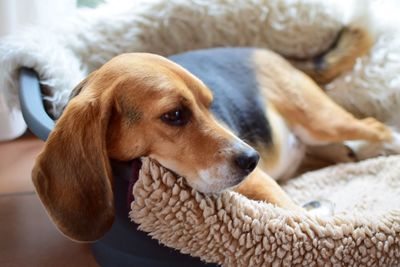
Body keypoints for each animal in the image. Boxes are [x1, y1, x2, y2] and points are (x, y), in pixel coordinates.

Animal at [32, 27, 394, 243]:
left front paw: (317, 211)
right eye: (174, 115)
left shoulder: (260, 181)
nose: (252, 158)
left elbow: (293, 214)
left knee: (377, 127)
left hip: (319, 119)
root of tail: (265, 51)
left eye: (210, 104)